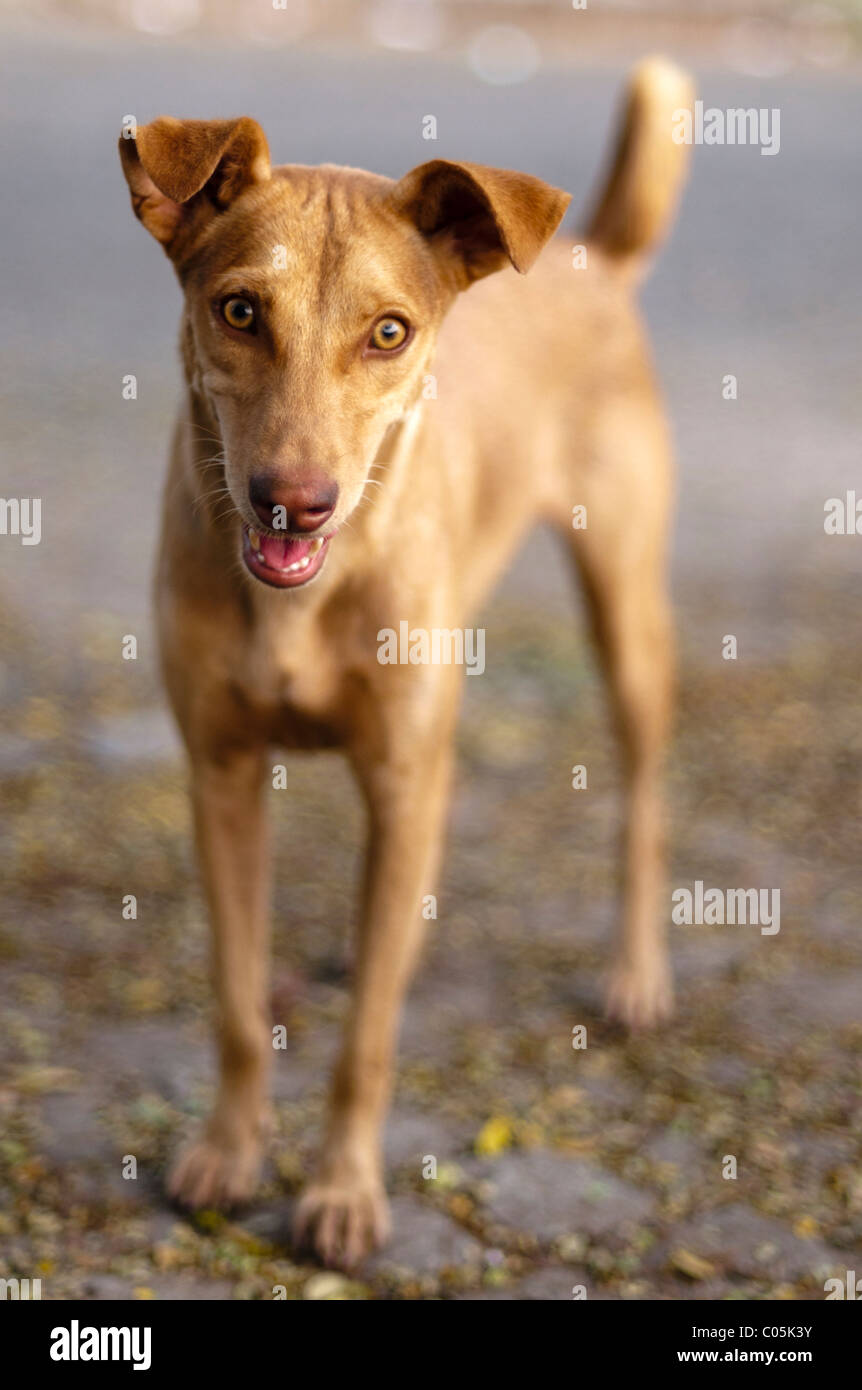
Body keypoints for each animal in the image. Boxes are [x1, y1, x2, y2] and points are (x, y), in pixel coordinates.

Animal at [119, 59, 692, 1267]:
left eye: (388, 332)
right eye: (238, 310)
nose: (293, 502)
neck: (303, 602)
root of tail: (590, 257)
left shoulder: (396, 771)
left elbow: (368, 1038)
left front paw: (340, 1190)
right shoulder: (222, 775)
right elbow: (239, 1000)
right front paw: (230, 1153)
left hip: (624, 610)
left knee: (642, 793)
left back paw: (637, 973)